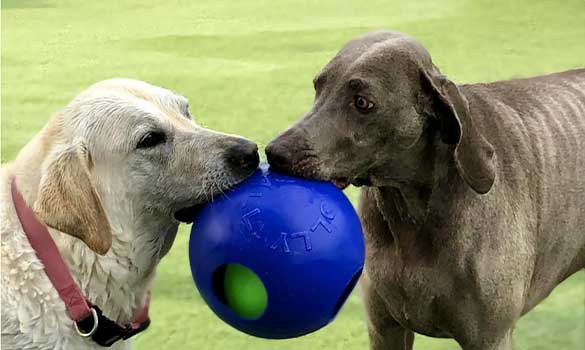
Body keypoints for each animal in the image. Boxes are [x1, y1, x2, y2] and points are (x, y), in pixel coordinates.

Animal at [266, 30, 584, 350]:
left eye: (362, 102)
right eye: (318, 86)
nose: (275, 153)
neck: (411, 214)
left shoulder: (490, 338)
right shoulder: (385, 329)